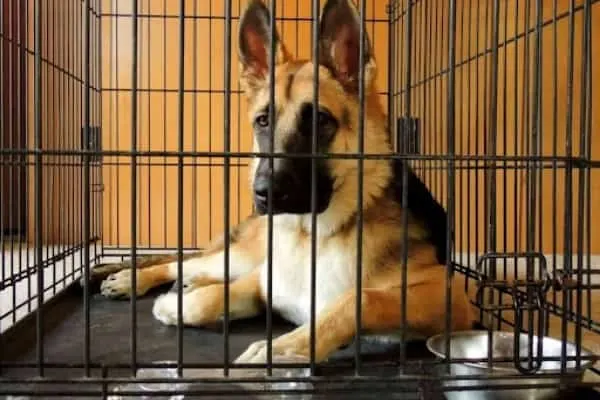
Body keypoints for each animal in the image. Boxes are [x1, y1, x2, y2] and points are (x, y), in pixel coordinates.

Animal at [98, 0, 474, 364]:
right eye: (263, 121)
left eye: (320, 120)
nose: (264, 194)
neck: (313, 236)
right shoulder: (263, 278)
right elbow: (217, 295)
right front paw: (181, 304)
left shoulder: (450, 295)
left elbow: (359, 298)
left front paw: (284, 347)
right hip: (241, 256)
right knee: (179, 263)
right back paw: (136, 278)